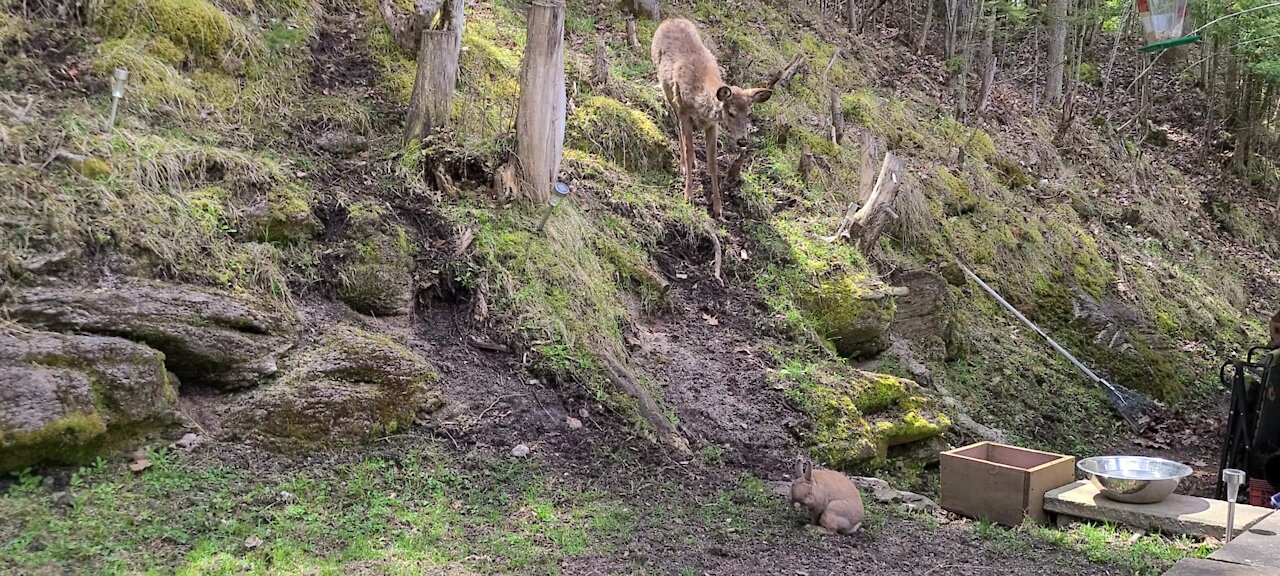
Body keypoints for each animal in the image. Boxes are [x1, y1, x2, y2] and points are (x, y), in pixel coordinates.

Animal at [650, 17, 768, 220]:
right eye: (731, 113)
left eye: (748, 113)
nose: (742, 141)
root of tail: (669, 19)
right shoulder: (684, 111)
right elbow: (689, 150)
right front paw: (688, 195)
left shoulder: (712, 125)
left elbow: (713, 161)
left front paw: (718, 207)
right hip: (668, 90)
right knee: (677, 126)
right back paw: (683, 165)